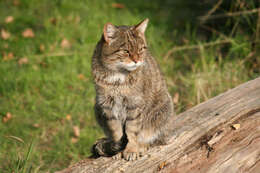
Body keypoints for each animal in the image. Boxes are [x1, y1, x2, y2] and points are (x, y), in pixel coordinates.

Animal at [91, 18, 175, 161]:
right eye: (126, 51)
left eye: (141, 49)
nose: (137, 60)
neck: (118, 79)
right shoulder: (107, 106)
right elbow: (116, 132)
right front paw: (118, 150)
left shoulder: (134, 105)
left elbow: (132, 131)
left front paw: (131, 149)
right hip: (97, 108)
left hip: (163, 111)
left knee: (156, 138)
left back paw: (141, 146)